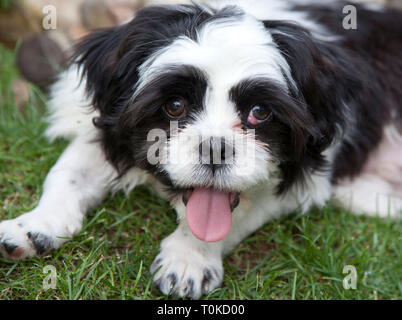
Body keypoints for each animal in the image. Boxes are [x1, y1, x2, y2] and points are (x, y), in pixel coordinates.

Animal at [0, 0, 402, 298]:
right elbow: (67, 174)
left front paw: (189, 258)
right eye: (175, 105)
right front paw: (35, 224)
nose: (215, 149)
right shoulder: (104, 130)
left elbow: (236, 215)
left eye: (260, 112)